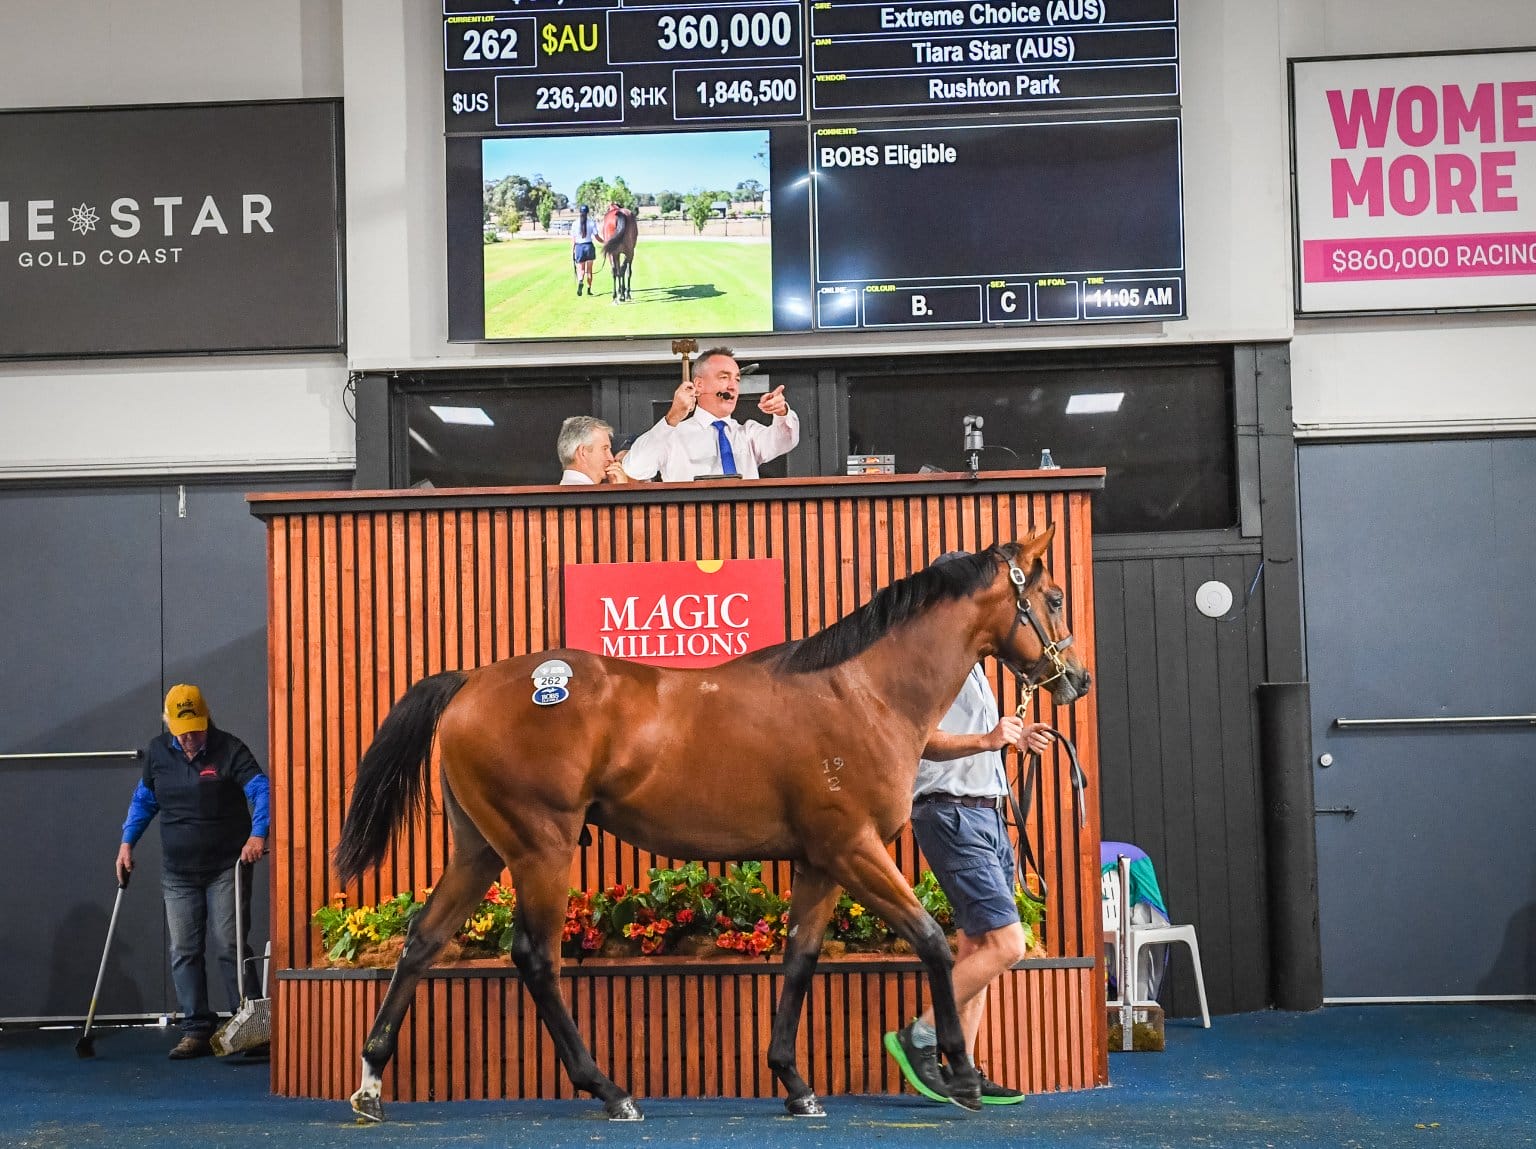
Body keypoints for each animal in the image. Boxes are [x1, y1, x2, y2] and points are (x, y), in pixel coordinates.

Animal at [333, 528, 1093, 1124]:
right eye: (1054, 598)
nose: (1077, 679)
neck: (862, 691)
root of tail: (471, 682)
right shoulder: (855, 849)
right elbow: (933, 939)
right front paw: (959, 1074)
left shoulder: (820, 861)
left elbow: (799, 959)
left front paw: (794, 1082)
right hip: (541, 846)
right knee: (536, 957)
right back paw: (608, 1089)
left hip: (481, 848)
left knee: (423, 940)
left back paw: (370, 1079)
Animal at [479, 129, 774, 339]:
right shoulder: (627, 252)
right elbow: (627, 273)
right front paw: (626, 294)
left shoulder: (616, 251)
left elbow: (618, 272)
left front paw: (621, 295)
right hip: (627, 250)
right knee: (622, 270)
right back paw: (620, 295)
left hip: (616, 252)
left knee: (613, 271)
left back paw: (614, 296)